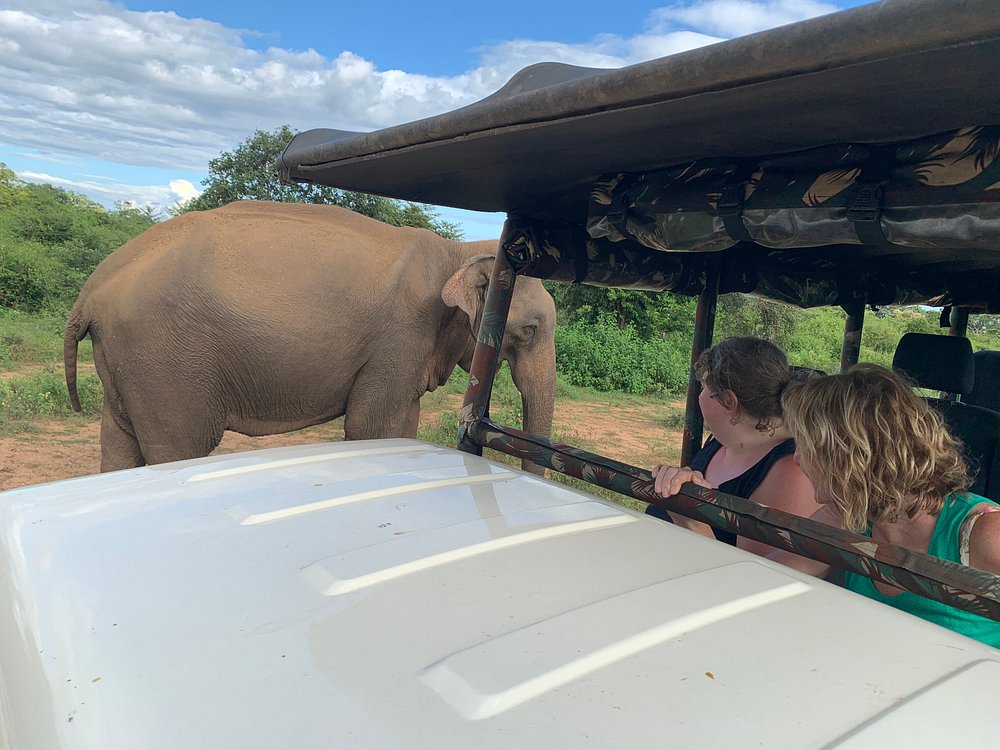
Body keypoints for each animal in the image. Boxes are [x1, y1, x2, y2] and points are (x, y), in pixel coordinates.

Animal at [64, 200, 556, 473]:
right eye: (530, 330)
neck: (458, 250)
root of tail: (89, 291)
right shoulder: (402, 334)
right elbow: (373, 428)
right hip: (166, 360)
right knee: (179, 448)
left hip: (129, 362)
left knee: (119, 446)